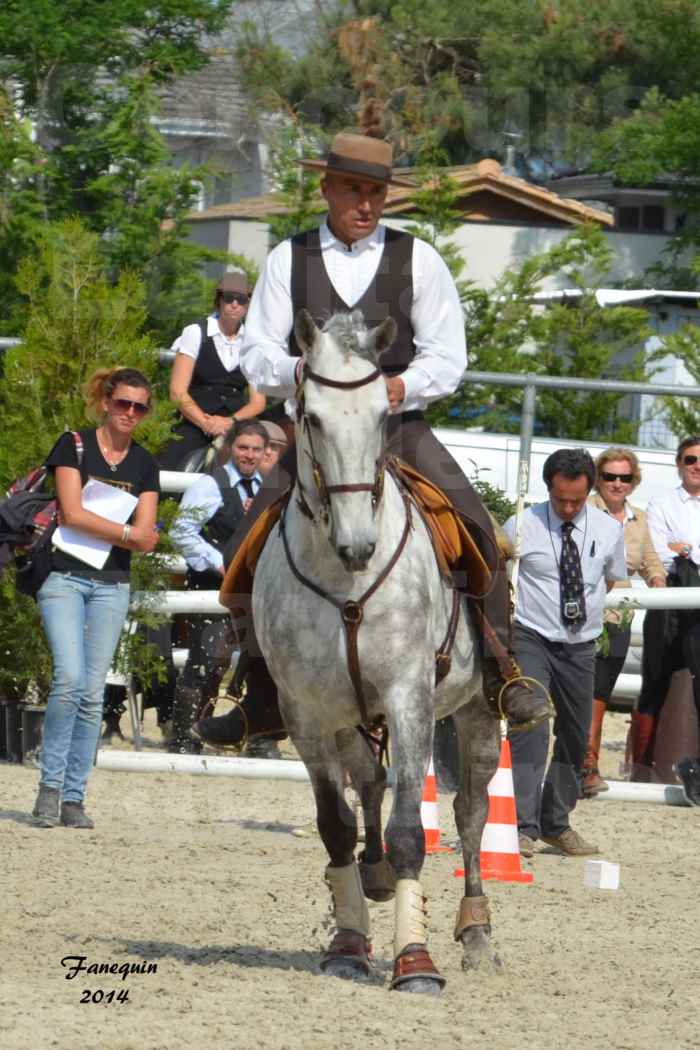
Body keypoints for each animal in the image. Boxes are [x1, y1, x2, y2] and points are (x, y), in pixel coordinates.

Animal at [251, 306, 503, 991]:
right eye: (310, 416)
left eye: (382, 416)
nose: (359, 545)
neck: (346, 581)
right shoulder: (307, 714)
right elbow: (335, 826)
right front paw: (348, 942)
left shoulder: (409, 699)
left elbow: (414, 830)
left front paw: (415, 962)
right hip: (348, 720)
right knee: (368, 784)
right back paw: (376, 876)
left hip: (476, 712)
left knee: (471, 812)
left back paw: (475, 932)